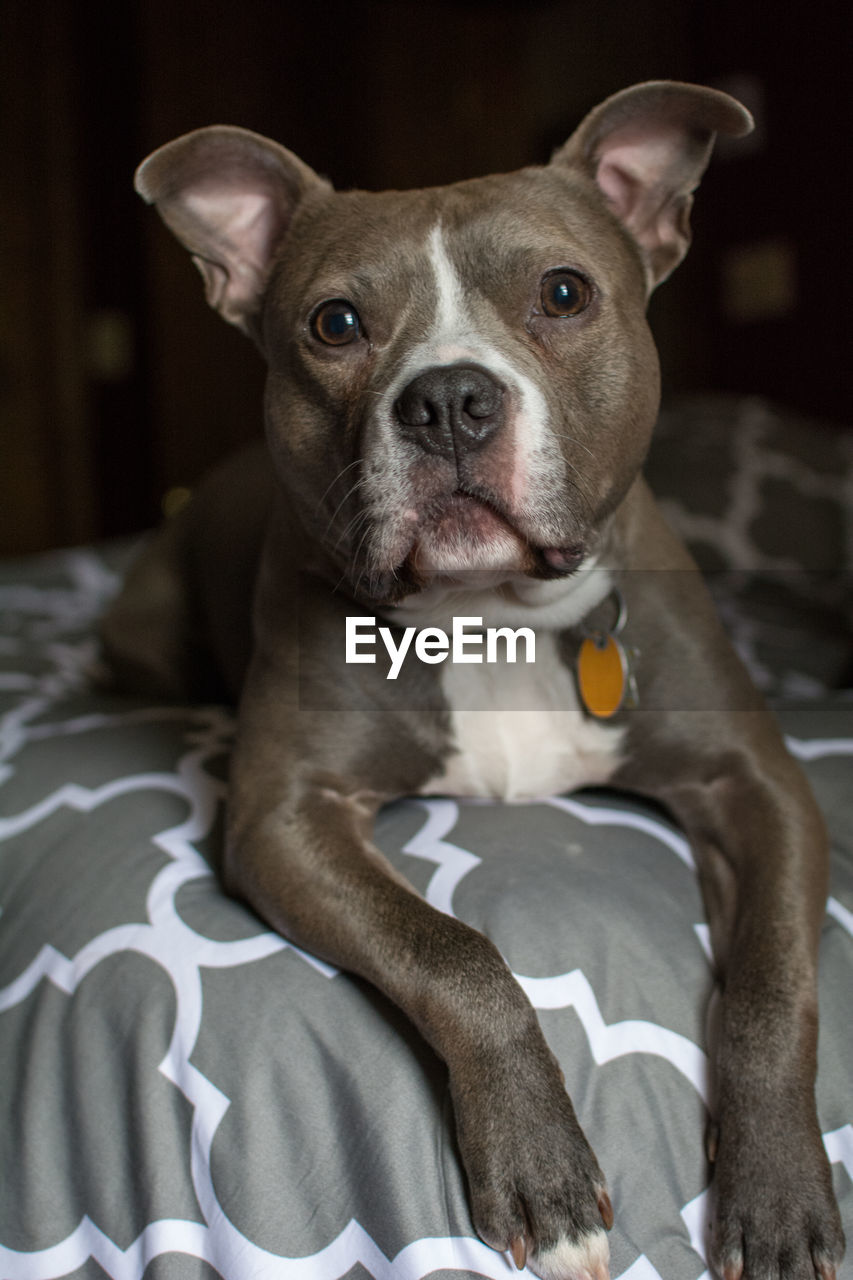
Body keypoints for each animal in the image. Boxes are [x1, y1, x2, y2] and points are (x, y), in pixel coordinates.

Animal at [103, 82, 840, 1280]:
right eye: (335, 323)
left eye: (563, 292)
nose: (447, 399)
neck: (490, 612)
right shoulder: (285, 815)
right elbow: (455, 954)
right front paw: (543, 1168)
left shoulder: (759, 786)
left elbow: (774, 986)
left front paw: (777, 1193)